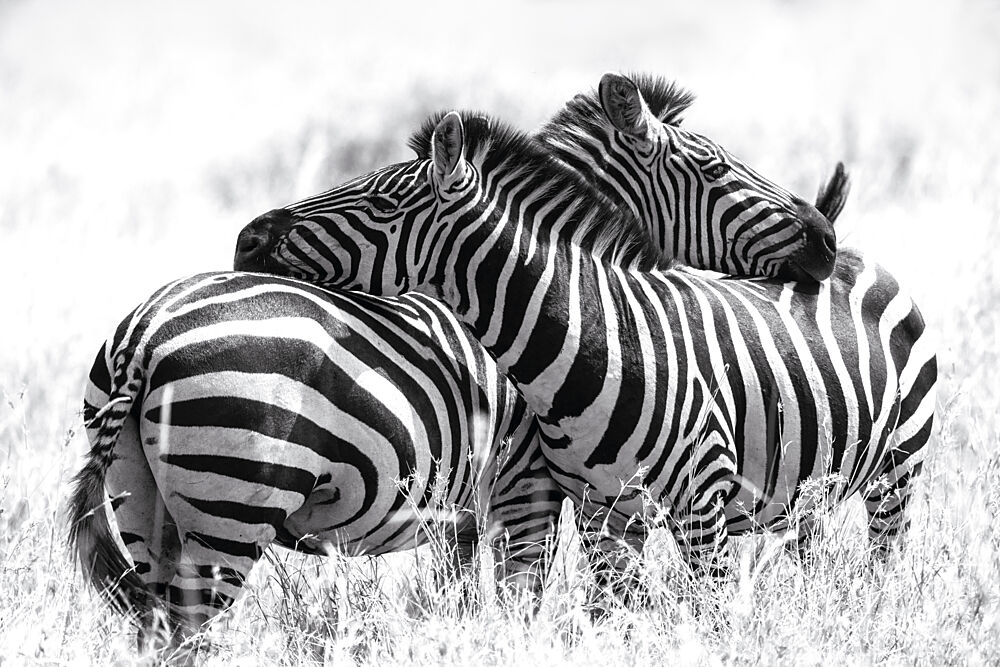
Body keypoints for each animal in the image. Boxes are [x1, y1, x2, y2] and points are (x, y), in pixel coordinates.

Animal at [238, 98, 935, 579]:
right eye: (715, 166)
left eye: (383, 202)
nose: (825, 242)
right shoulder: (523, 497)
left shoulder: (519, 494)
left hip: (895, 471)